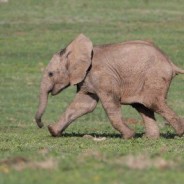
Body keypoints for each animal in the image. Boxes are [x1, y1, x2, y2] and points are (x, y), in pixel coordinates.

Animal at [35, 33, 184, 139]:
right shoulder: (88, 78)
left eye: (50, 74)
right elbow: (83, 104)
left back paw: (179, 134)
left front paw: (129, 136)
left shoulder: (102, 76)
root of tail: (170, 62)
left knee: (152, 102)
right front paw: (53, 131)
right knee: (142, 106)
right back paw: (150, 138)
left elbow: (110, 104)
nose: (42, 124)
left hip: (155, 76)